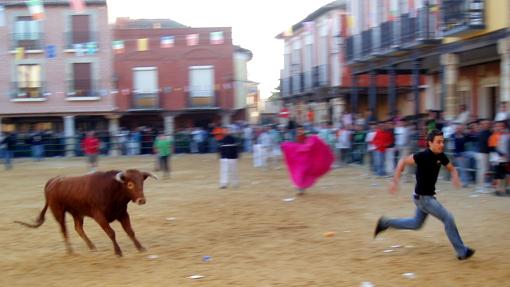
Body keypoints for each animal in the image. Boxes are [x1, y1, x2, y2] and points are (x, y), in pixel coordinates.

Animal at [14, 170, 157, 258]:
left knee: (78, 228)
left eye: (142, 182)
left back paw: (92, 247)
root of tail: (53, 181)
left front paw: (140, 247)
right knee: (64, 230)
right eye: (130, 184)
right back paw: (70, 251)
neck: (112, 190)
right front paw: (118, 252)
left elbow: (130, 231)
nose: (141, 200)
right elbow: (111, 232)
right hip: (59, 212)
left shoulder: (122, 213)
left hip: (77, 213)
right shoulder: (99, 216)